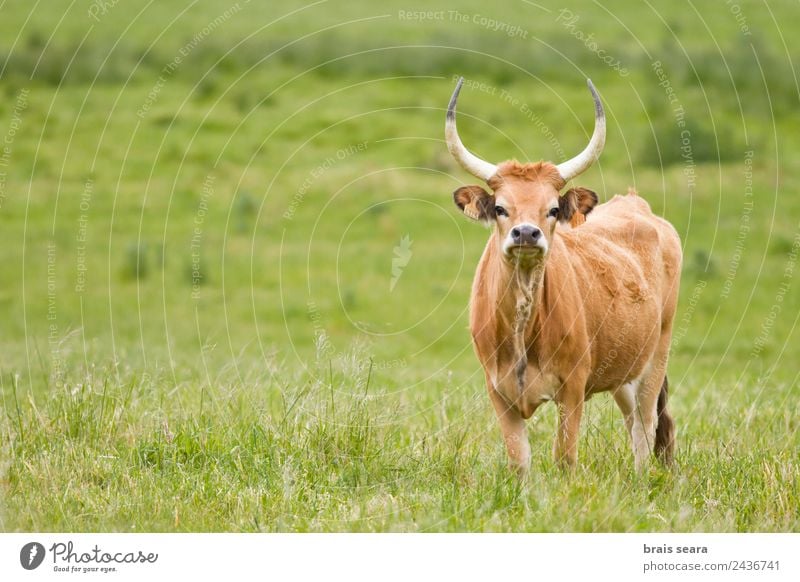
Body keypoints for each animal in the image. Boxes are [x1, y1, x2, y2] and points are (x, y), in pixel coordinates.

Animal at [444, 77, 680, 474]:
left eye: (553, 209)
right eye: (500, 208)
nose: (526, 233)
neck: (523, 325)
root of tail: (636, 204)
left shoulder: (573, 388)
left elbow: (565, 457)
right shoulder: (498, 391)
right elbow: (518, 459)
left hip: (654, 359)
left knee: (644, 428)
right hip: (624, 370)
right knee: (633, 421)